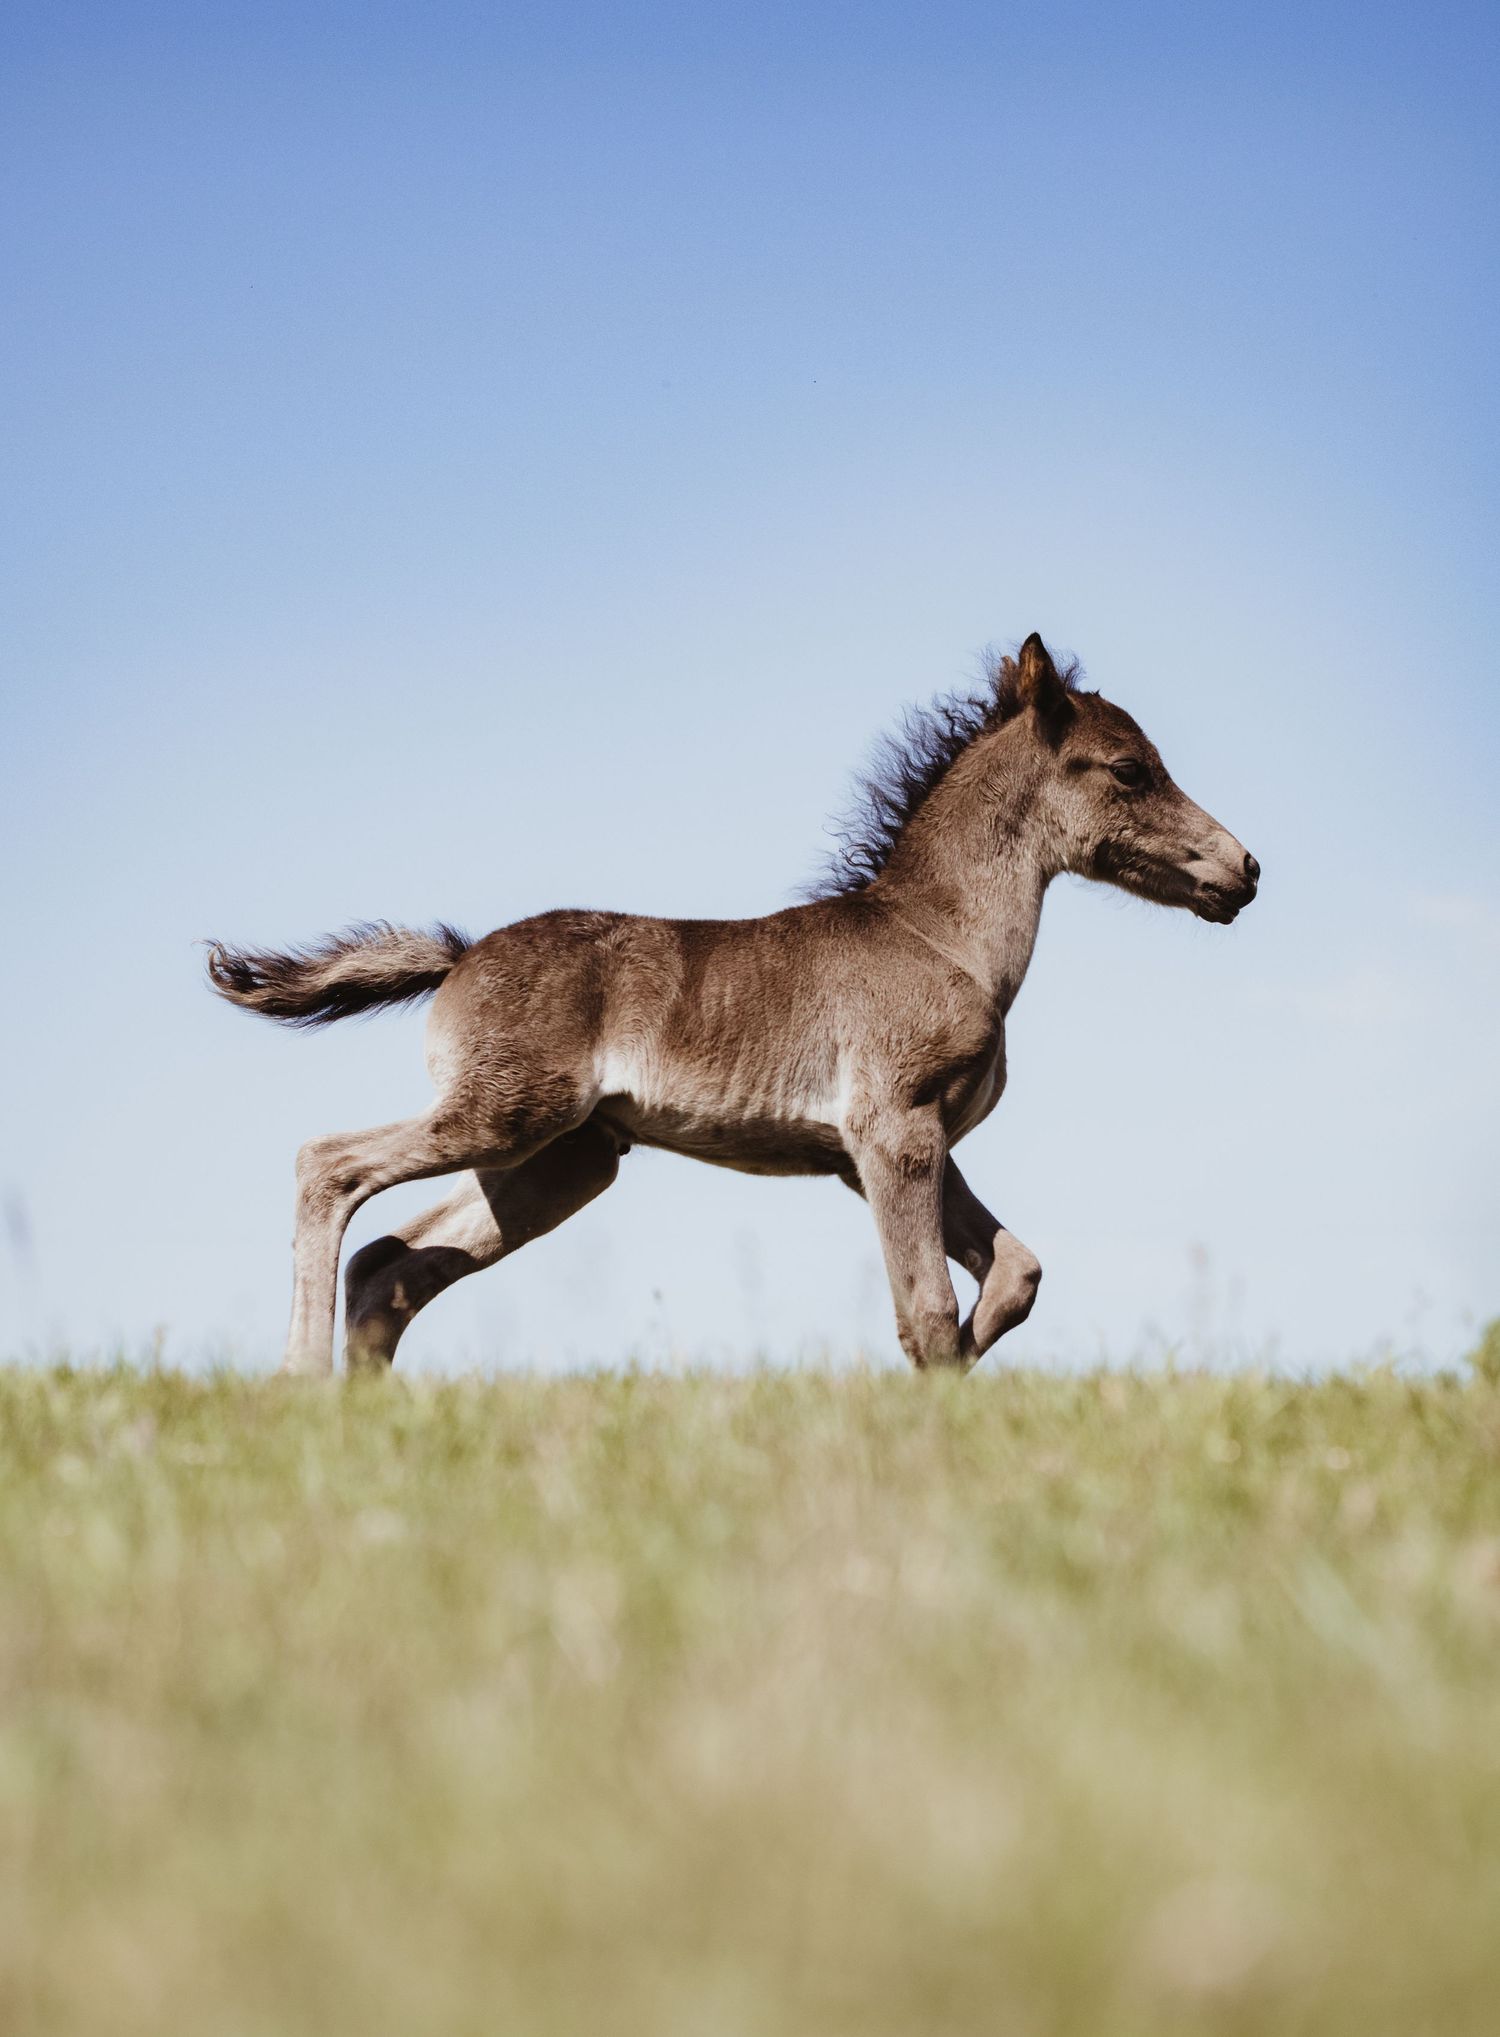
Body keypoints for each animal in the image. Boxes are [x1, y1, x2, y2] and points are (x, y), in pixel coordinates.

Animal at [207, 634, 1258, 1375]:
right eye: (1129, 769)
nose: (1244, 868)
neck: (942, 937)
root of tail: (461, 956)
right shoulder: (892, 1133)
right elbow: (923, 1310)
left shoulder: (890, 1149)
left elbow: (1014, 1274)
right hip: (505, 1117)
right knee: (329, 1168)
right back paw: (297, 1382)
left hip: (557, 1164)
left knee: (388, 1264)